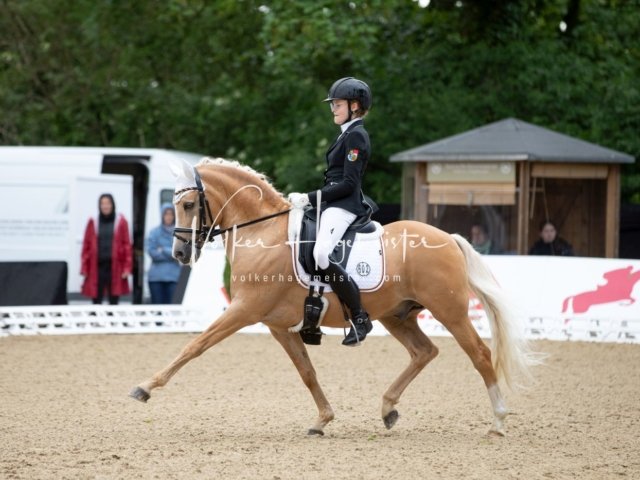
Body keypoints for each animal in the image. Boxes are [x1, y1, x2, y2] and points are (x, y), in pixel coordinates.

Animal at [129, 157, 539, 436]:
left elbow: (194, 346)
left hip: (449, 310)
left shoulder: (244, 310)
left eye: (187, 205)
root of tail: (449, 238)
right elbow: (307, 372)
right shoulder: (278, 325)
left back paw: (498, 421)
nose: (179, 253)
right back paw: (388, 408)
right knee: (424, 352)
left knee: (480, 354)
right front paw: (322, 419)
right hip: (397, 315)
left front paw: (145, 387)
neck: (261, 232)